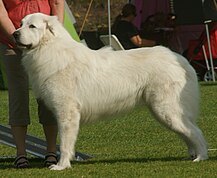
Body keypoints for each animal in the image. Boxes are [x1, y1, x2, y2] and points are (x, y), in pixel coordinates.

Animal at [14, 12, 209, 170]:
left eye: (32, 26)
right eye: (21, 23)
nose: (14, 34)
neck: (49, 48)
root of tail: (180, 59)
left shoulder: (67, 112)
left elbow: (64, 143)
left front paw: (61, 166)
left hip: (166, 110)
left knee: (196, 132)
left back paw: (201, 157)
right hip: (164, 112)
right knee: (187, 133)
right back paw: (191, 155)